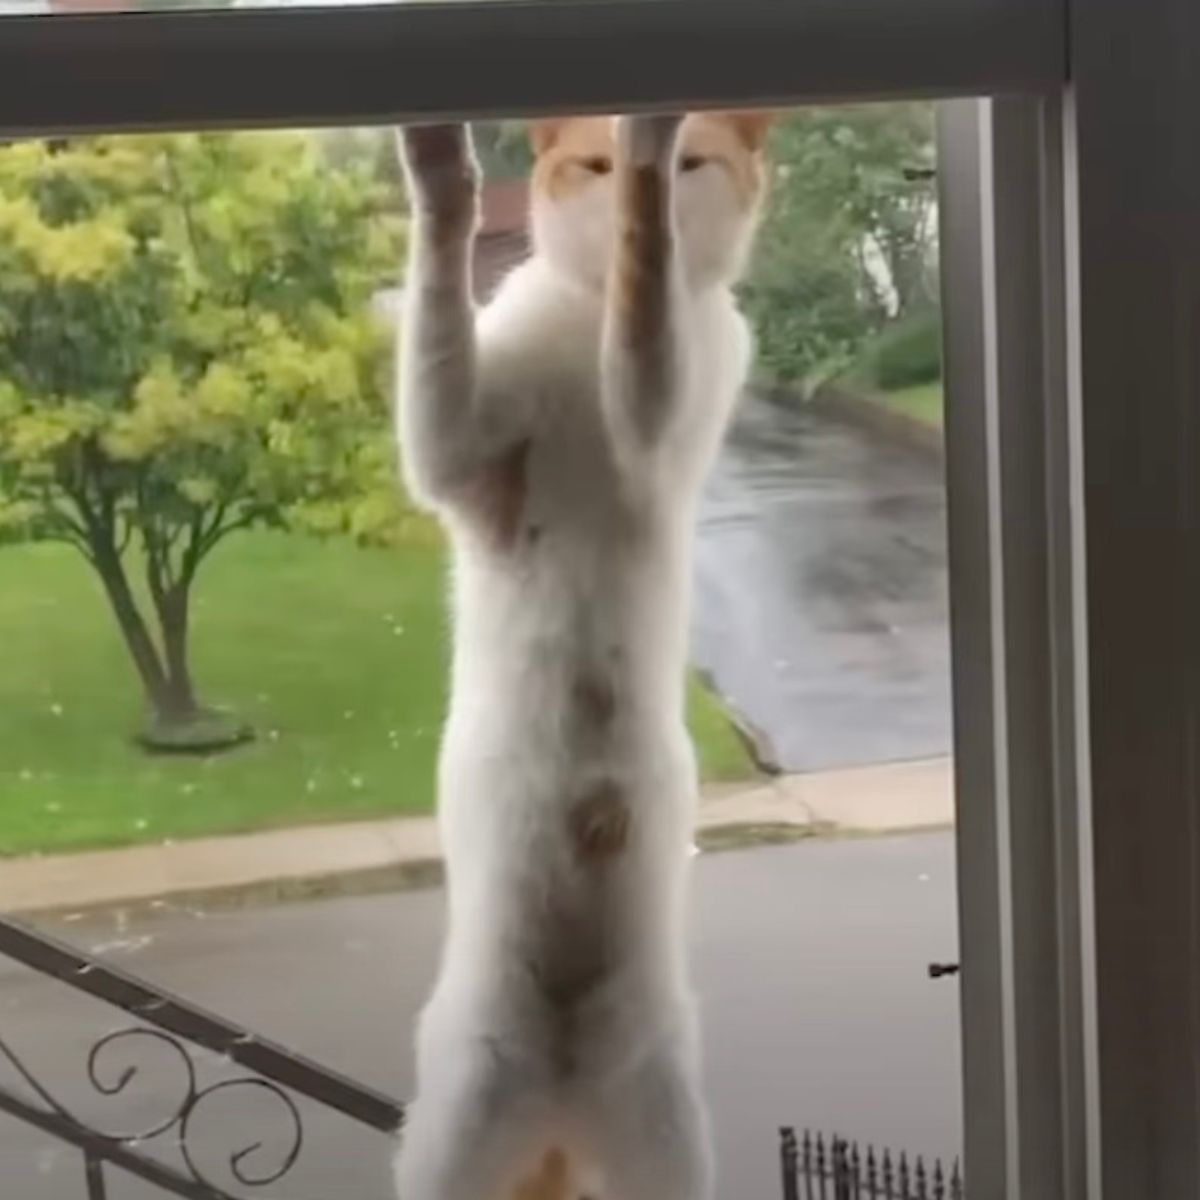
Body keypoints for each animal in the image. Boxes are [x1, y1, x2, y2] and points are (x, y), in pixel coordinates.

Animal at [393, 112, 768, 1200]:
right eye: (583, 167)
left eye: (701, 166)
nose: (617, 185)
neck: (583, 328)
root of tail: (559, 1114)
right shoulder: (461, 457)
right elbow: (440, 330)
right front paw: (440, 167)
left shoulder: (666, 405)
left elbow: (650, 315)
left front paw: (653, 165)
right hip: (457, 1121)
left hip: (666, 1141)